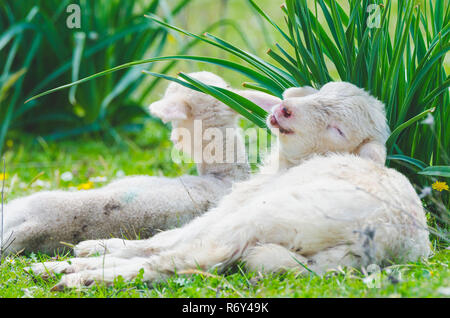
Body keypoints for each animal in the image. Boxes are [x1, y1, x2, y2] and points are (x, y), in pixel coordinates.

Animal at [29, 80, 430, 290]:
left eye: (338, 129)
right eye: (320, 92)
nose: (283, 109)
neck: (287, 165)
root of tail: (379, 238)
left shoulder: (236, 206)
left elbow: (170, 239)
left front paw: (97, 250)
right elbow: (168, 238)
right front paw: (102, 246)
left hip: (269, 214)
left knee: (189, 259)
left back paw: (74, 276)